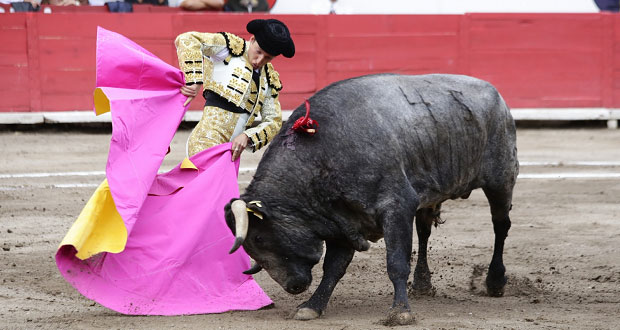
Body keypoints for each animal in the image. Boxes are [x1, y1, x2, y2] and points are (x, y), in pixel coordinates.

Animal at [223, 73, 520, 324]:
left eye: (259, 238)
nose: (292, 287)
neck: (323, 155)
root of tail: (495, 94)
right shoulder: (343, 220)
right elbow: (334, 268)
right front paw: (312, 306)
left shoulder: (396, 207)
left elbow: (396, 262)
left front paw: (400, 312)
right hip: (429, 192)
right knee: (424, 232)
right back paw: (423, 284)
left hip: (501, 180)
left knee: (500, 226)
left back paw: (495, 282)